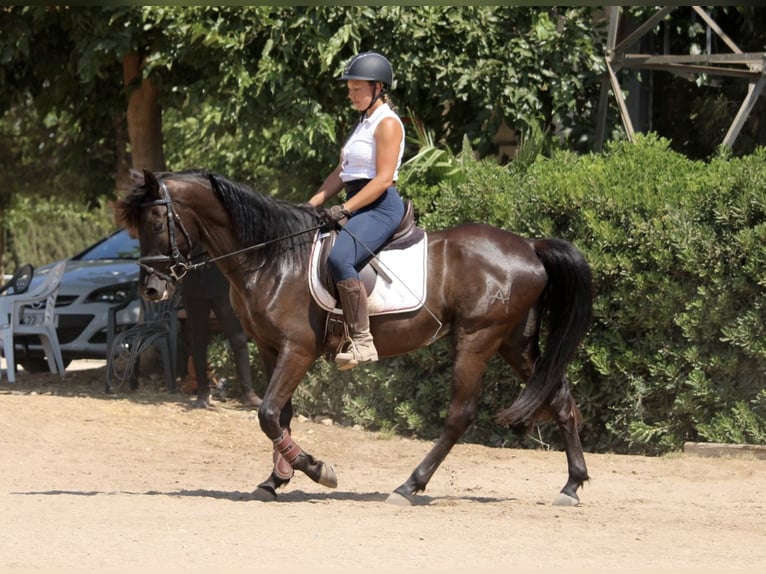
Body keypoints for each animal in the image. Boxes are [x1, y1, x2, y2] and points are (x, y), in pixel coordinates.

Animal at [116, 168, 594, 506]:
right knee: (560, 399)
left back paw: (409, 486)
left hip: (478, 338)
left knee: (461, 413)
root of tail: (530, 247)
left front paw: (315, 469)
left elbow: (267, 414)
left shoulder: (297, 350)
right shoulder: (271, 348)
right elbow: (280, 415)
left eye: (157, 221)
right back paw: (571, 485)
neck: (272, 256)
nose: (152, 290)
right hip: (515, 342)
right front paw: (276, 480)